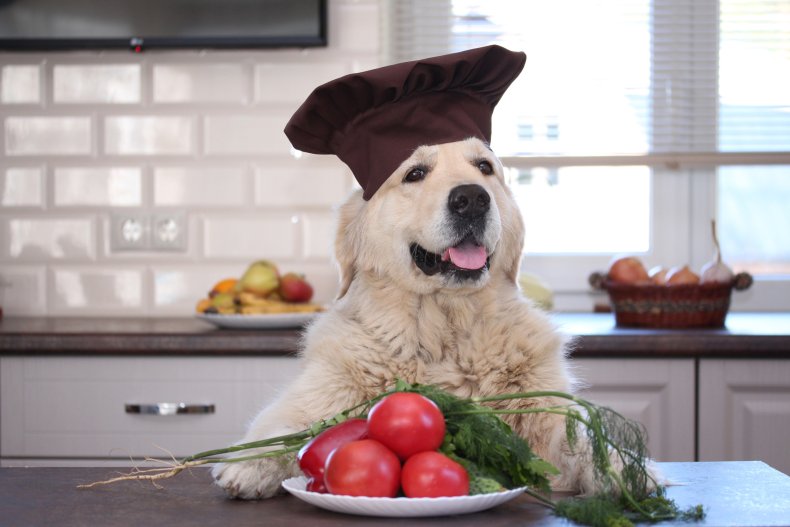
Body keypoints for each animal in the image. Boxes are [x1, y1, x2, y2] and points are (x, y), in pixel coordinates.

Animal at [212, 136, 612, 500]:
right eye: (415, 173)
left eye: (484, 167)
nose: (472, 199)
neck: (442, 329)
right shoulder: (317, 396)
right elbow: (279, 430)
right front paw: (248, 465)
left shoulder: (550, 420)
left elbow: (585, 437)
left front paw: (618, 472)